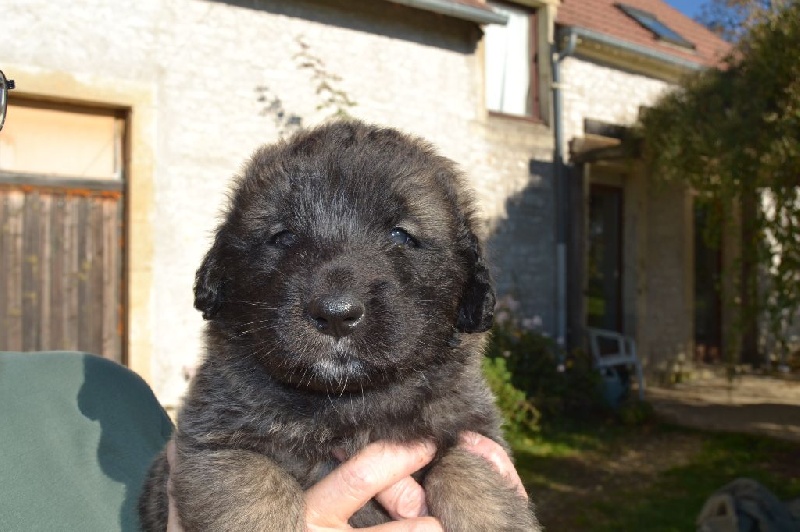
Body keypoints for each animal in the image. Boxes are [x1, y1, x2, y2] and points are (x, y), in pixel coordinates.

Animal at [138, 120, 538, 531]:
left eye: (401, 234)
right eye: (282, 236)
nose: (335, 314)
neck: (348, 407)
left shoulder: (474, 433)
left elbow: (469, 470)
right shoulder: (212, 443)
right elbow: (255, 489)